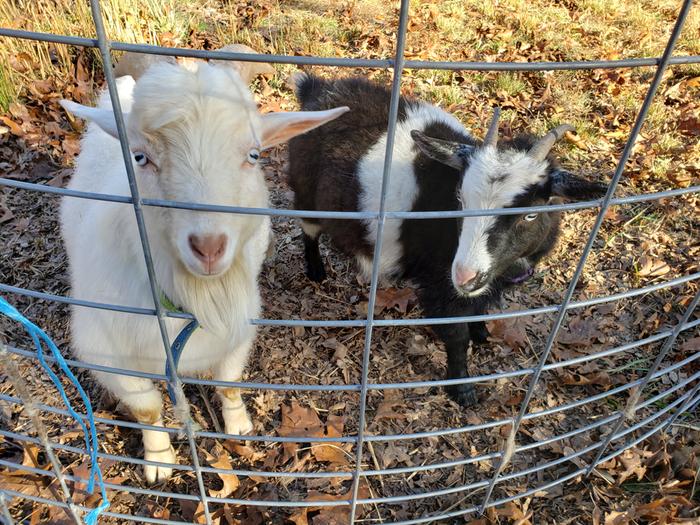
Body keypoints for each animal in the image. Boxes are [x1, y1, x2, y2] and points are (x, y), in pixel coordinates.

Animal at [59, 51, 348, 482]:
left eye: (253, 155)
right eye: (141, 157)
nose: (208, 246)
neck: (193, 301)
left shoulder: (238, 328)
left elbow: (228, 383)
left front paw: (239, 426)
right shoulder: (105, 354)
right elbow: (147, 409)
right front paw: (159, 461)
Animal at [288, 73, 604, 404]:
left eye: (530, 215)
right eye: (460, 199)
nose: (464, 276)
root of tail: (317, 89)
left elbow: (479, 309)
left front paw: (482, 334)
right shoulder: (439, 283)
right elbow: (455, 334)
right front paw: (462, 389)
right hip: (305, 190)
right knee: (308, 229)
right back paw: (316, 271)